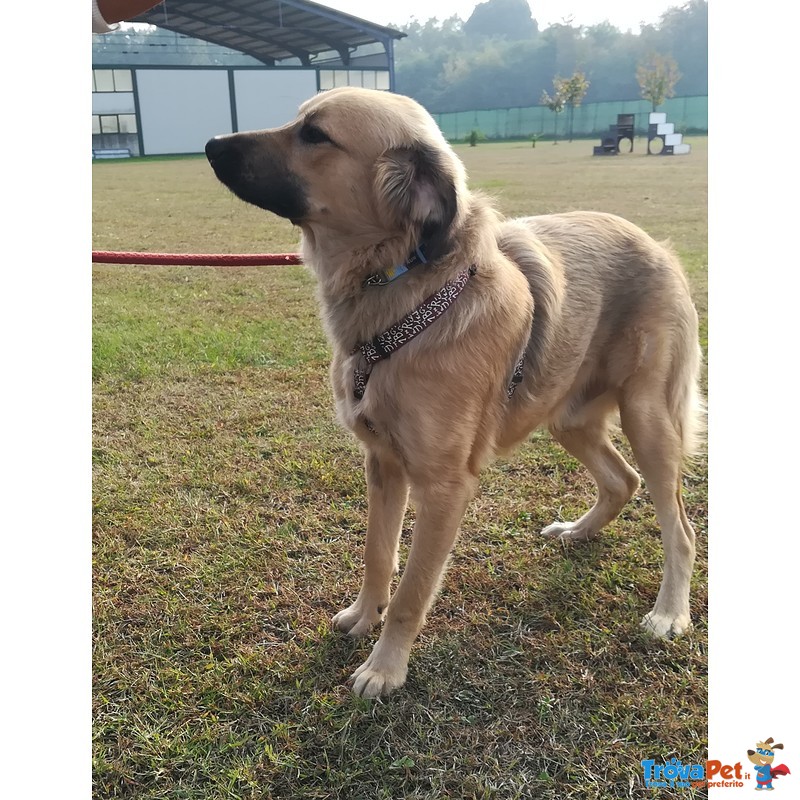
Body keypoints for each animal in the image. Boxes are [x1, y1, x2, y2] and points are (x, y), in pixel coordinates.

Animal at [205, 87, 700, 696]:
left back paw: (670, 612)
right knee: (621, 480)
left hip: (648, 417)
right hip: (569, 415)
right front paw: (362, 617)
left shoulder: (445, 487)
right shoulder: (382, 462)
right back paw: (579, 532)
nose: (210, 145)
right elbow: (377, 556)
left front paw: (385, 667)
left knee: (679, 526)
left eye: (315, 134)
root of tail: (657, 244)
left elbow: (413, 590)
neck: (406, 294)